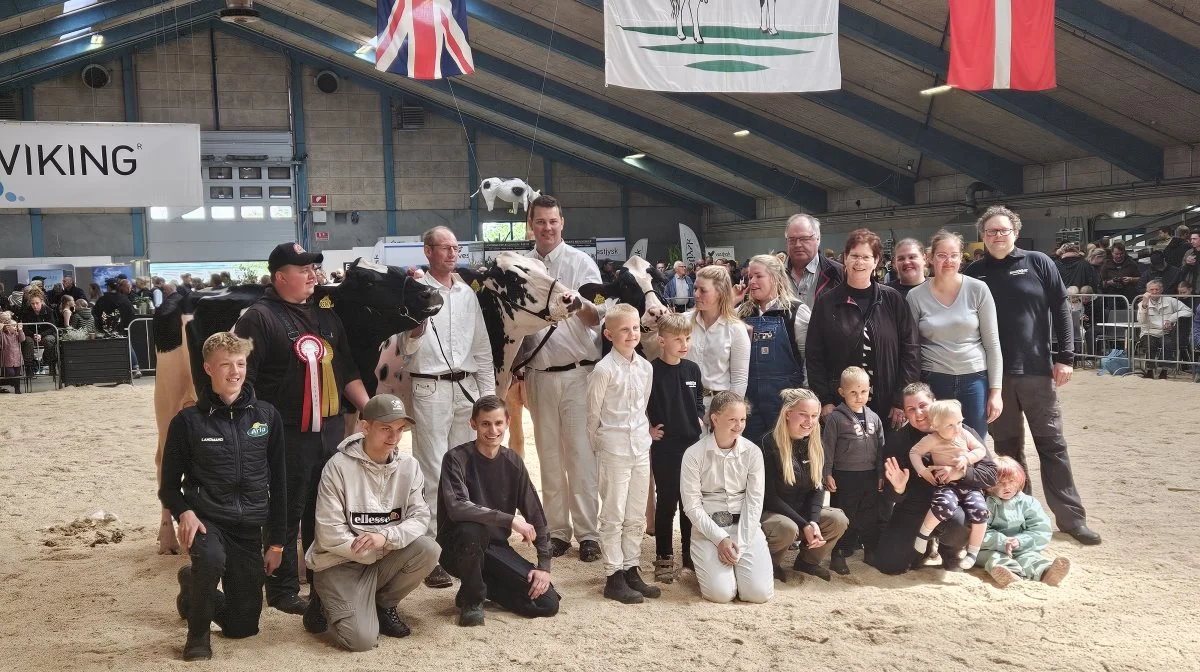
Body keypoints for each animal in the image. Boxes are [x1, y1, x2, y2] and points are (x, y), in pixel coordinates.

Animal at [152, 256, 444, 552]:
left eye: (396, 270)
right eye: (369, 281)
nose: (431, 293)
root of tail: (183, 295)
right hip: (167, 395)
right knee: (164, 461)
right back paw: (168, 539)